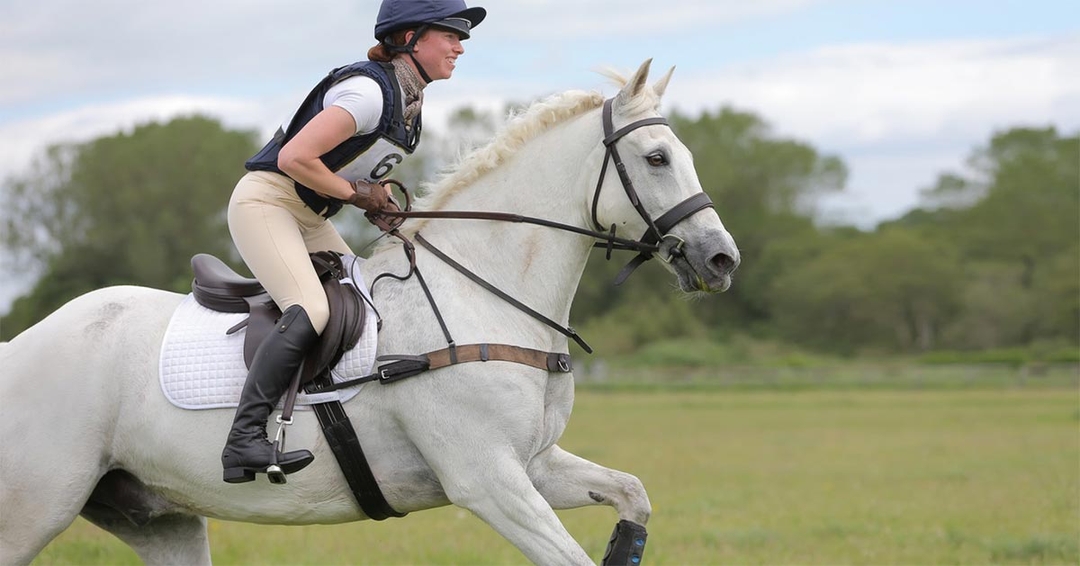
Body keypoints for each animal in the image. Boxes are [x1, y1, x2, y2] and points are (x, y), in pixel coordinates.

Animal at [0, 59, 739, 565]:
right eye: (657, 158)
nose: (722, 259)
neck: (483, 292)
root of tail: (21, 347)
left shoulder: (531, 465)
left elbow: (632, 493)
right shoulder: (486, 480)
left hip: (155, 515)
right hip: (36, 506)